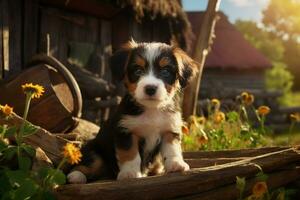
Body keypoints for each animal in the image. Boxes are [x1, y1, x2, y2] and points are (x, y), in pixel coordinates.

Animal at [68, 39, 199, 183]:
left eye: (165, 71)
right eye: (138, 71)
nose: (150, 88)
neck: (152, 109)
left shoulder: (169, 129)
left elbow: (172, 149)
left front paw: (176, 164)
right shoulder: (126, 132)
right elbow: (130, 154)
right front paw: (130, 173)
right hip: (95, 152)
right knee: (85, 165)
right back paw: (76, 176)